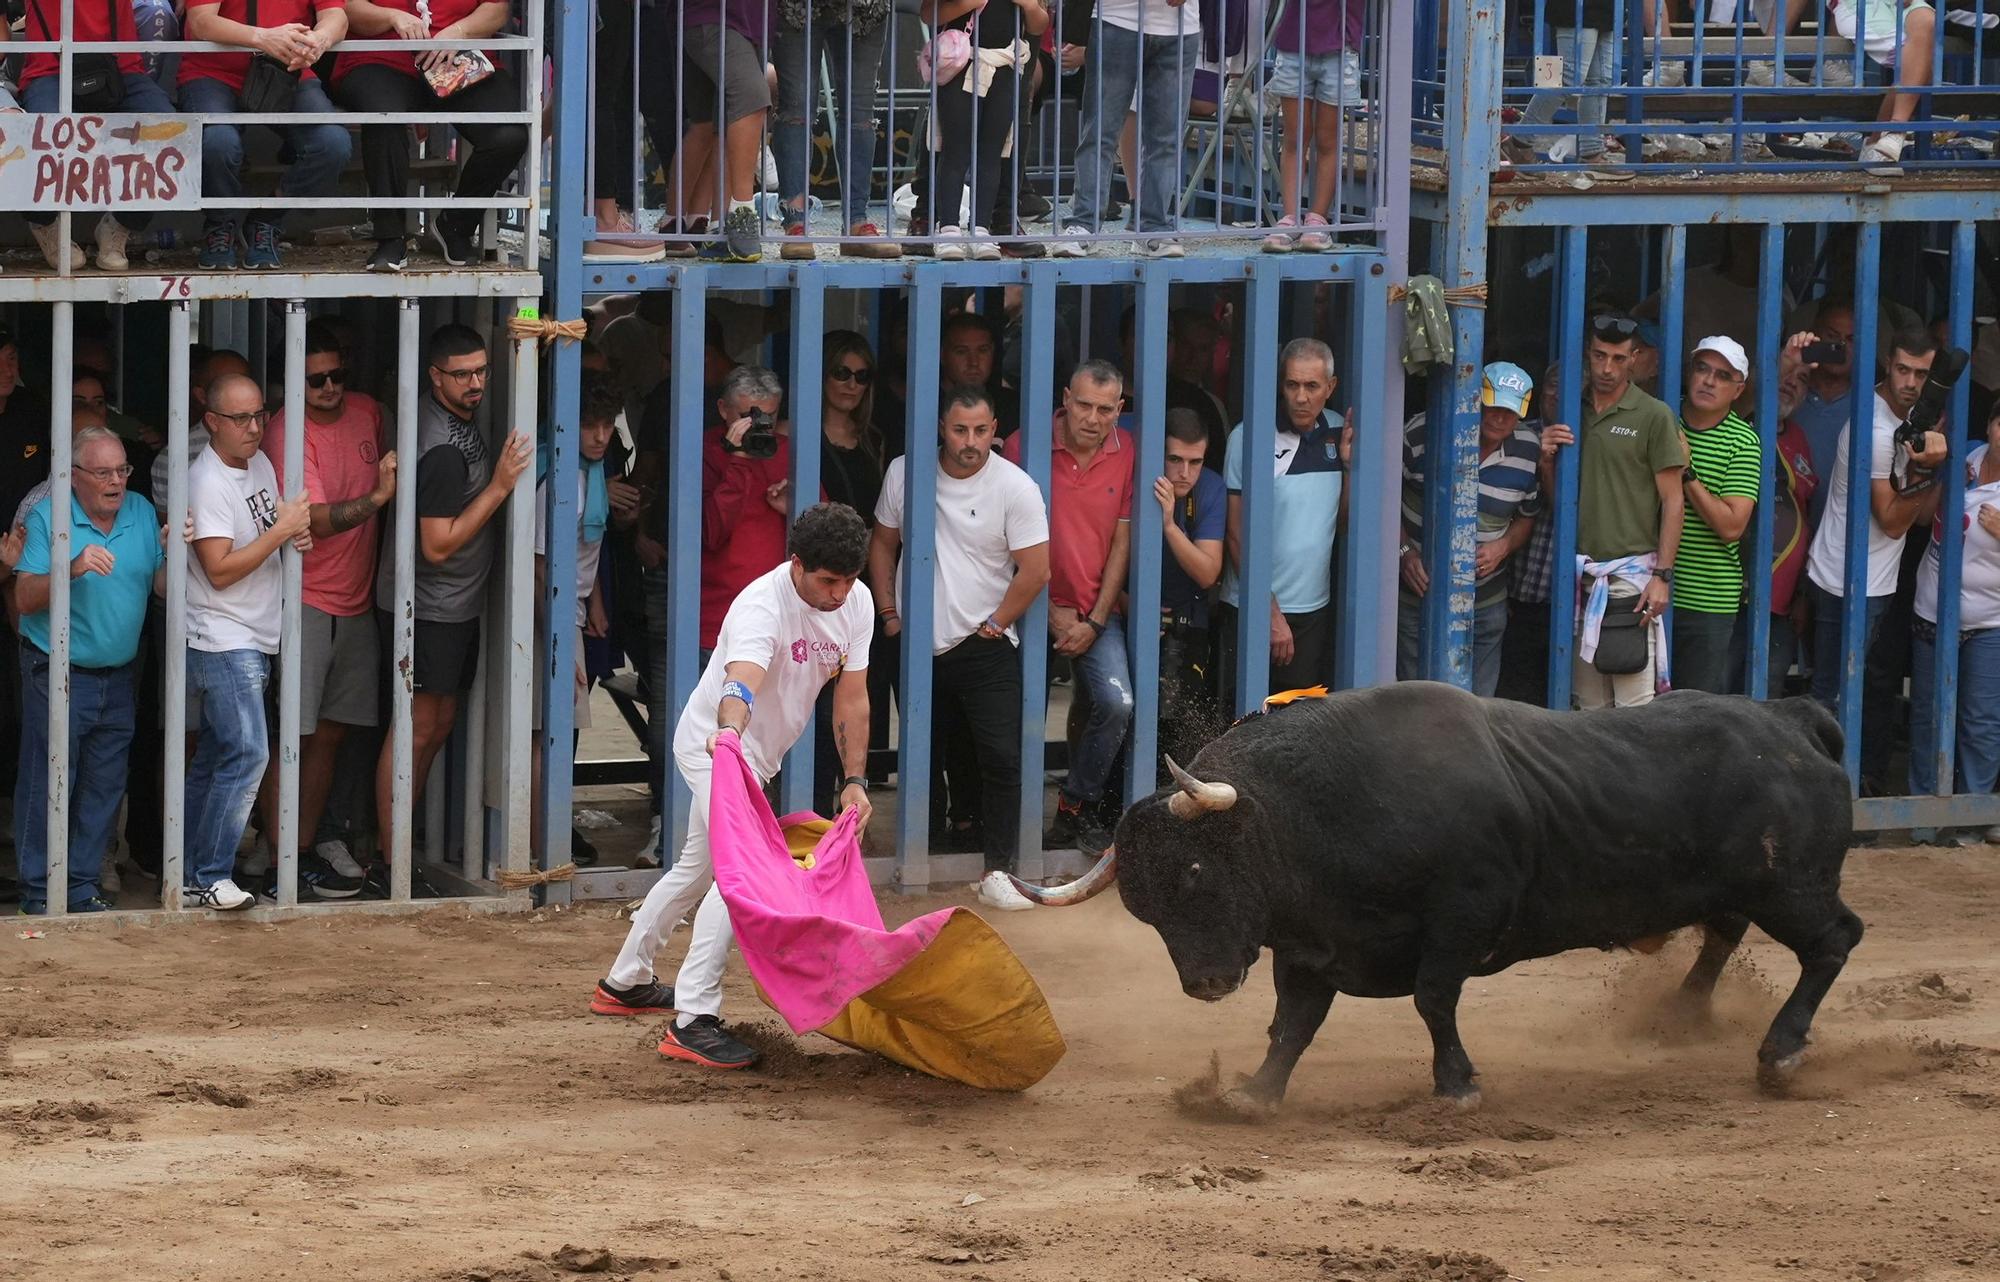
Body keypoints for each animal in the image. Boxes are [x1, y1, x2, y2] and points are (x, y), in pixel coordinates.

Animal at [1024, 684, 1864, 1112]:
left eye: (1199, 872)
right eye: (1144, 909)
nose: (1203, 984)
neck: (1312, 814)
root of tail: (1792, 722)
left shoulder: (1464, 914)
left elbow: (1432, 999)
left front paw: (1456, 1085)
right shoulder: (1310, 946)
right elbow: (1292, 1025)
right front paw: (1253, 1095)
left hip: (1791, 886)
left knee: (1833, 940)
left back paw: (1780, 1054)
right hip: (1750, 888)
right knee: (1725, 932)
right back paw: (1681, 1018)